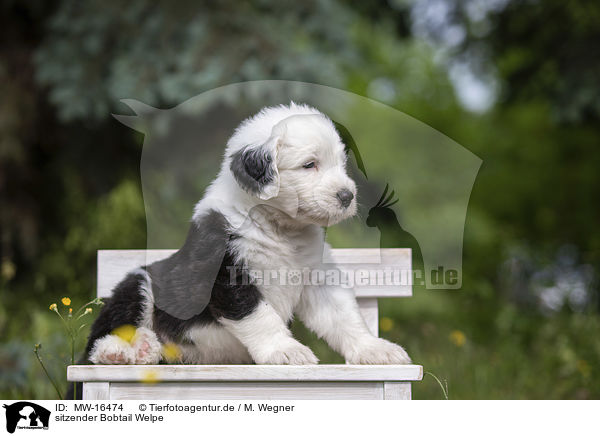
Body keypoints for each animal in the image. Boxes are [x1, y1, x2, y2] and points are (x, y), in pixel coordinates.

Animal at [84, 102, 410, 364]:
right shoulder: (225, 273)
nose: (346, 196)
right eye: (309, 164)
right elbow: (258, 314)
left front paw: (375, 349)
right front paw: (287, 351)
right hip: (137, 285)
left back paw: (146, 350)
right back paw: (120, 351)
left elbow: (343, 315)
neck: (280, 228)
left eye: (341, 164)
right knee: (100, 339)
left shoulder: (317, 277)